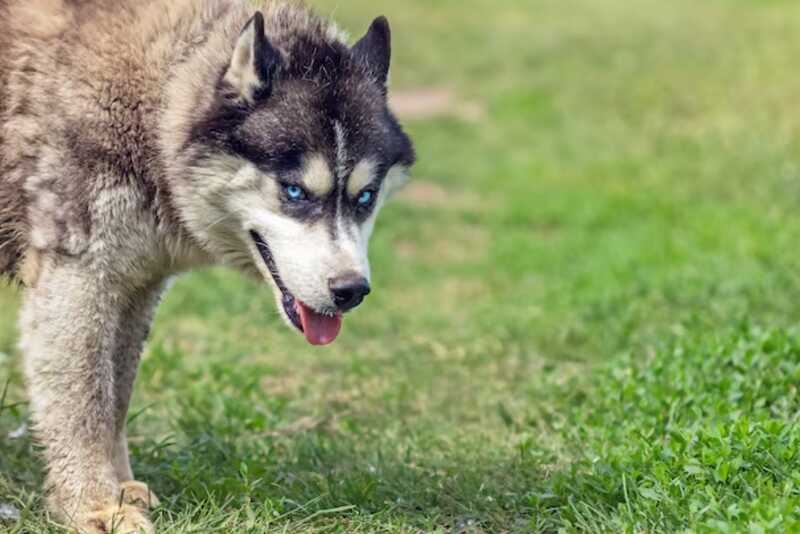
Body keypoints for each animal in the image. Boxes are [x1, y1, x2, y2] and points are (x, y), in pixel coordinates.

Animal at [1, 1, 418, 532]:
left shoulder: (136, 286)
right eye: (295, 191)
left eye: (365, 197)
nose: (350, 290)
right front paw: (93, 504)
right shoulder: (76, 277)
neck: (158, 99)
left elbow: (115, 395)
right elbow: (84, 402)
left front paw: (120, 486)